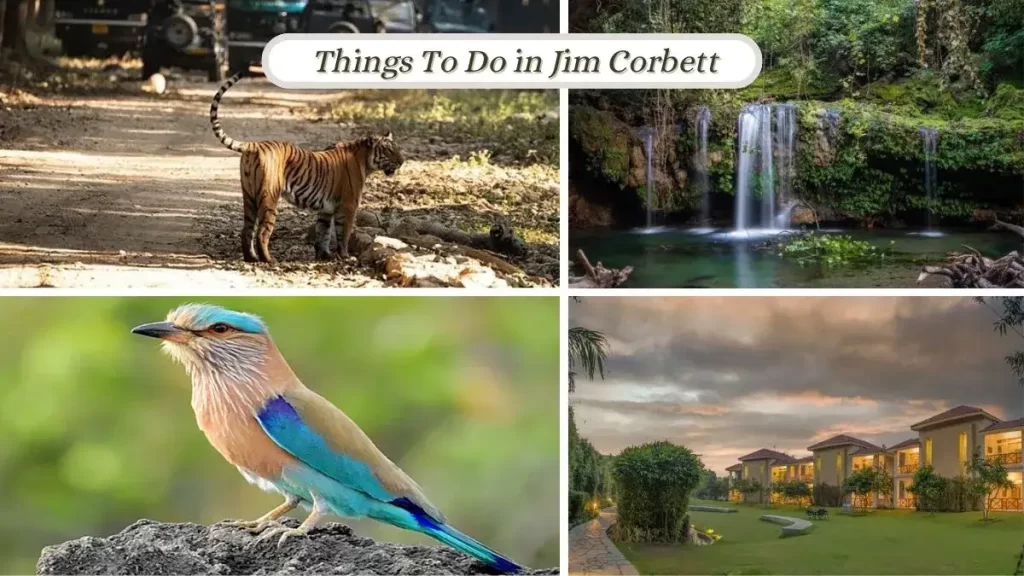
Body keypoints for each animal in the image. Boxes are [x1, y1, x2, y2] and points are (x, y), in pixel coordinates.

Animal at [209, 71, 404, 264]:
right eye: (389, 150)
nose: (402, 161)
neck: (364, 160)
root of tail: (254, 145)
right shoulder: (348, 205)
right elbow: (344, 234)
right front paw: (345, 257)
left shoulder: (326, 209)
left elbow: (323, 233)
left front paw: (324, 255)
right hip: (269, 197)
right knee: (262, 232)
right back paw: (269, 260)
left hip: (248, 196)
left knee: (246, 230)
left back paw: (251, 258)